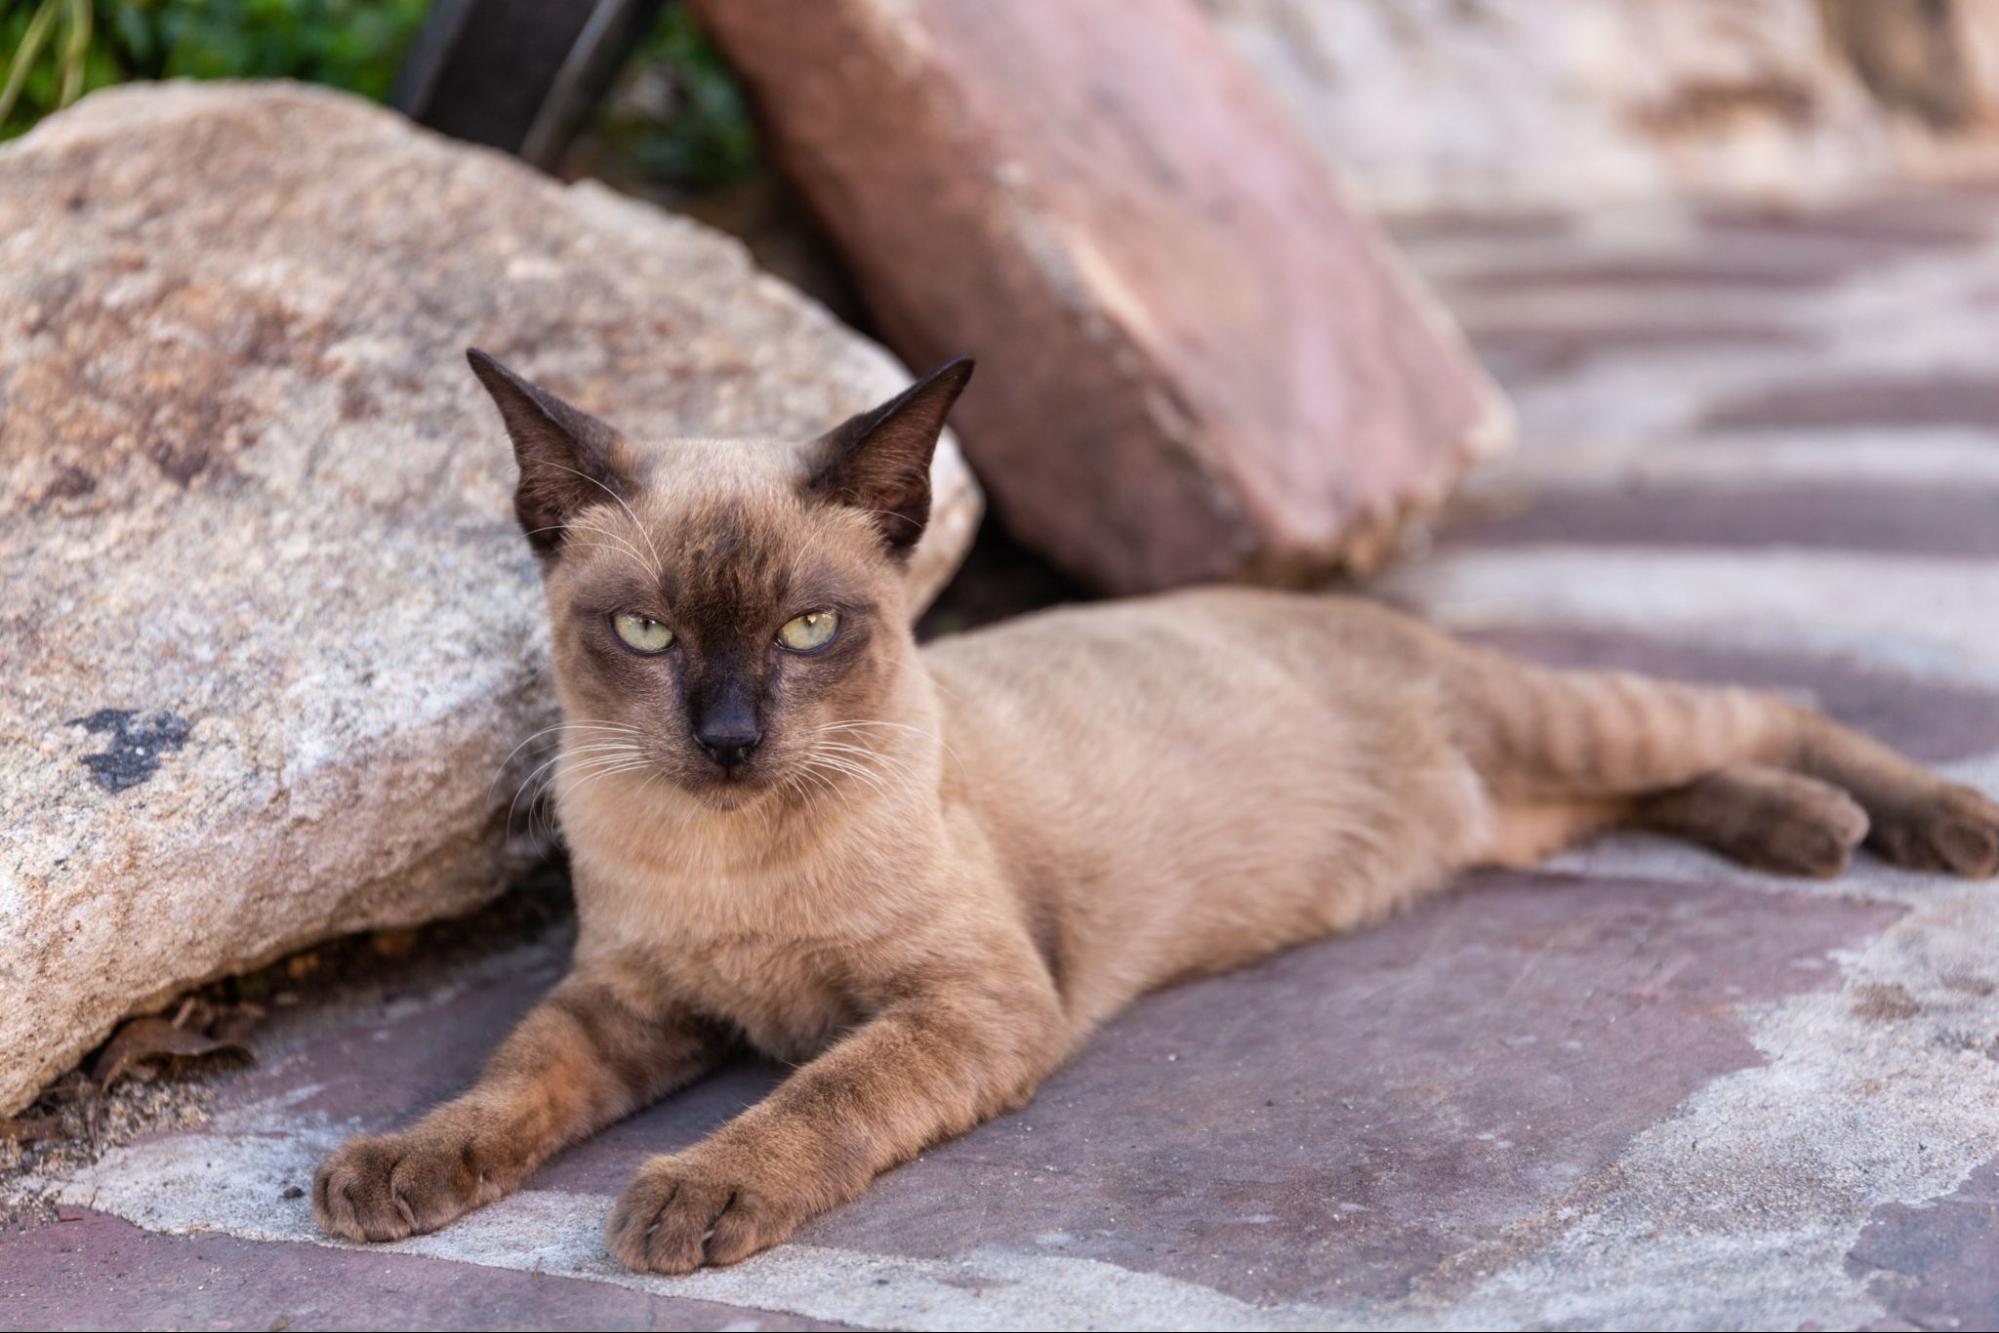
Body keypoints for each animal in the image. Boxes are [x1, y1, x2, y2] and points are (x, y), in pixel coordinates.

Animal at [311, 351, 1999, 1271]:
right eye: (648, 634)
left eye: (806, 630)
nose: (725, 739)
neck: (732, 855)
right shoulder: (625, 1006)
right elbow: (503, 1085)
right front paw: (392, 1172)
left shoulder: (969, 1006)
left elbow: (809, 1098)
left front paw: (692, 1197)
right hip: (1520, 808)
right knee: (1646, 784)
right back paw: (1804, 833)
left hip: (1557, 722)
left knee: (1749, 705)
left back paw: (1919, 827)